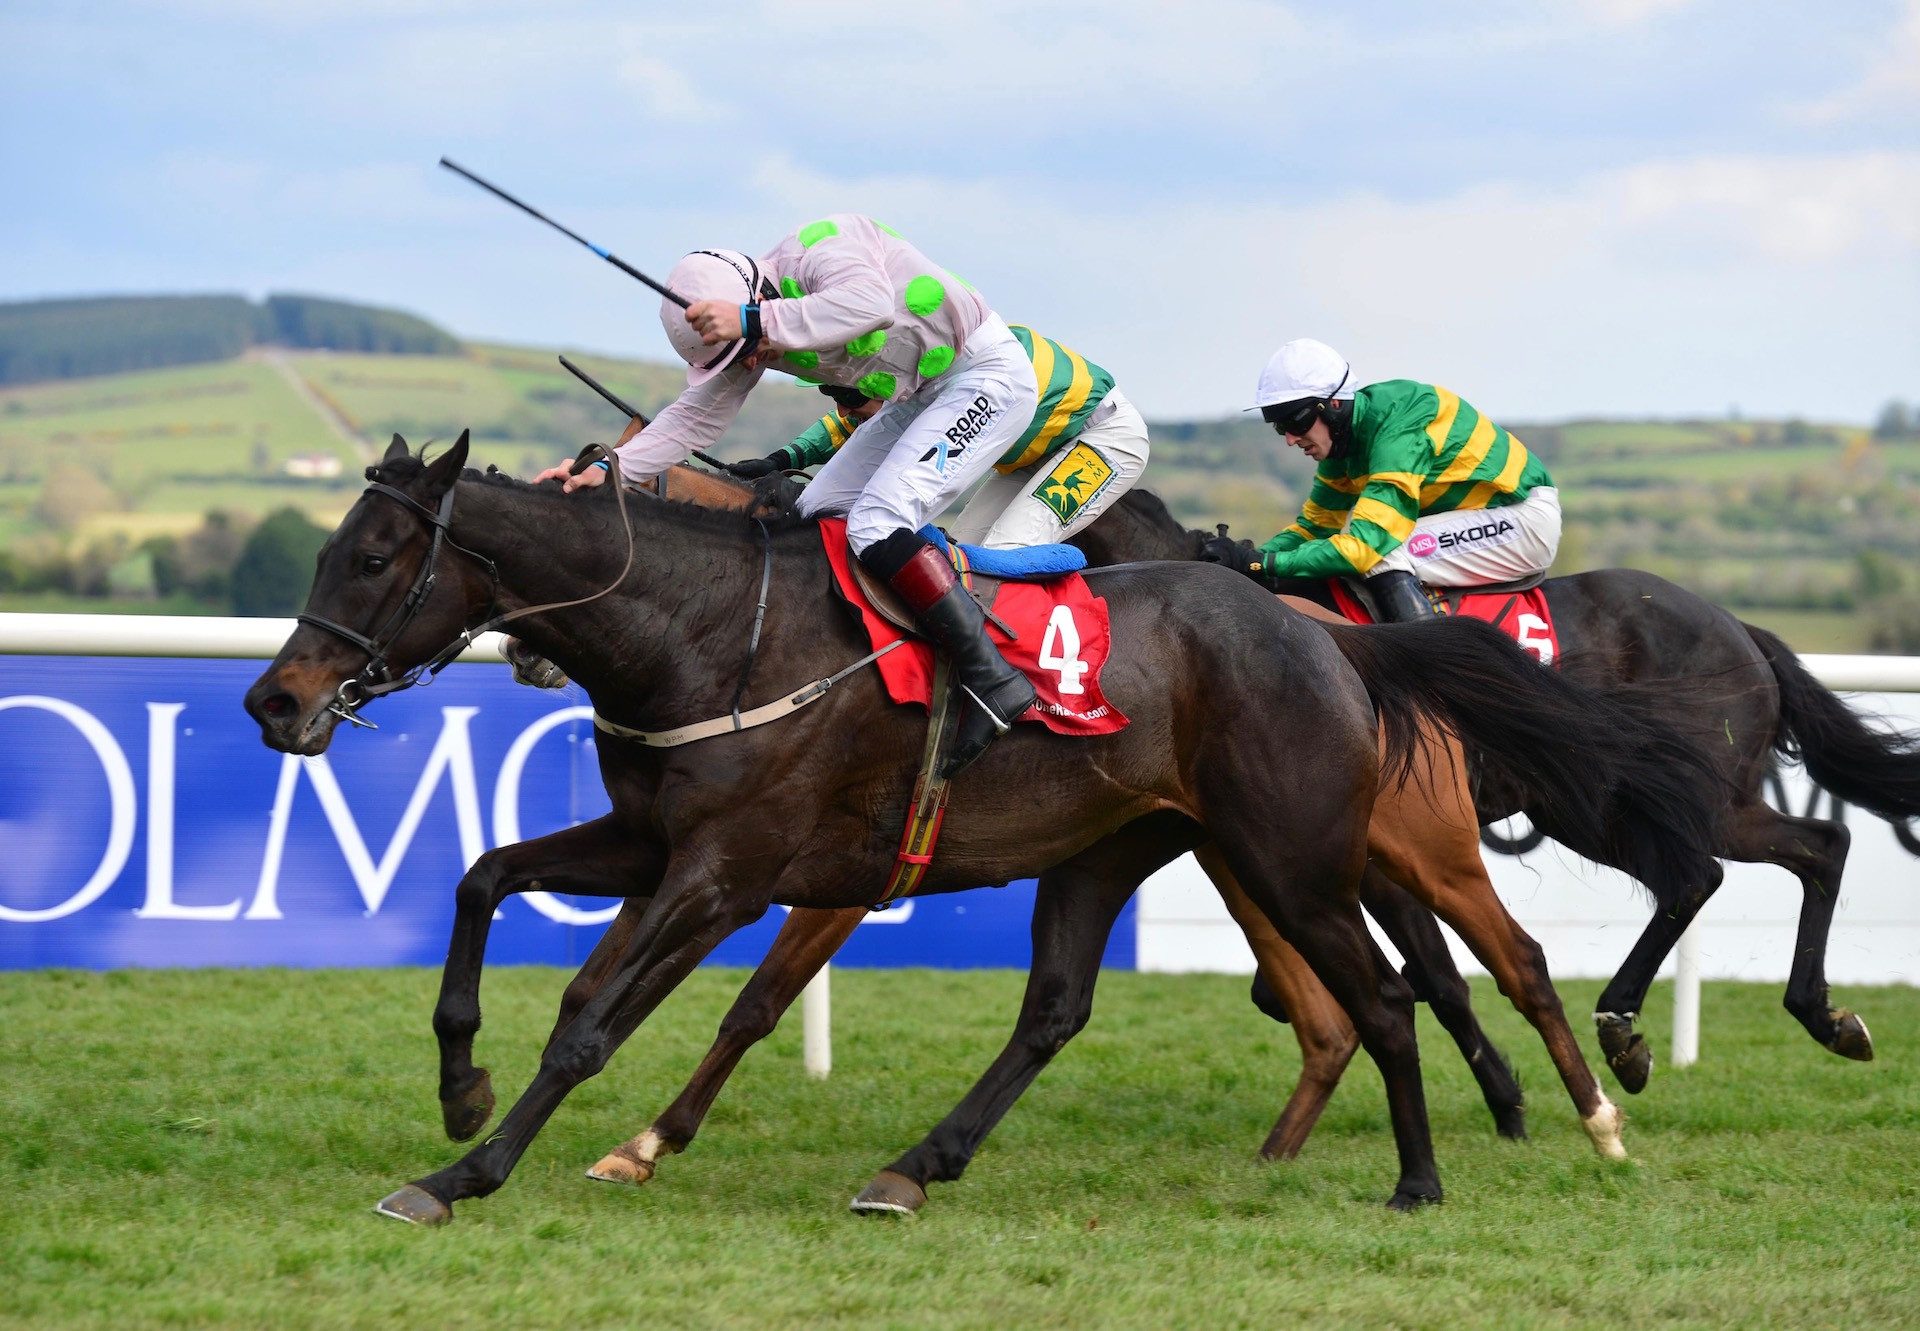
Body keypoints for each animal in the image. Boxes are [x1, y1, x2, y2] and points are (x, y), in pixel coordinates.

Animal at [243, 435, 1728, 1221]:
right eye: (324, 550)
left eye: (371, 557)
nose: (275, 698)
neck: (709, 631)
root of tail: (1333, 638)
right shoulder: (658, 839)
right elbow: (483, 878)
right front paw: (461, 1083)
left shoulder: (728, 869)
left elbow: (595, 1012)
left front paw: (466, 1166)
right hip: (1116, 847)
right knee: (1062, 1006)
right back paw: (916, 1163)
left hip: (1298, 854)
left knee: (1393, 990)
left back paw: (1433, 1173)